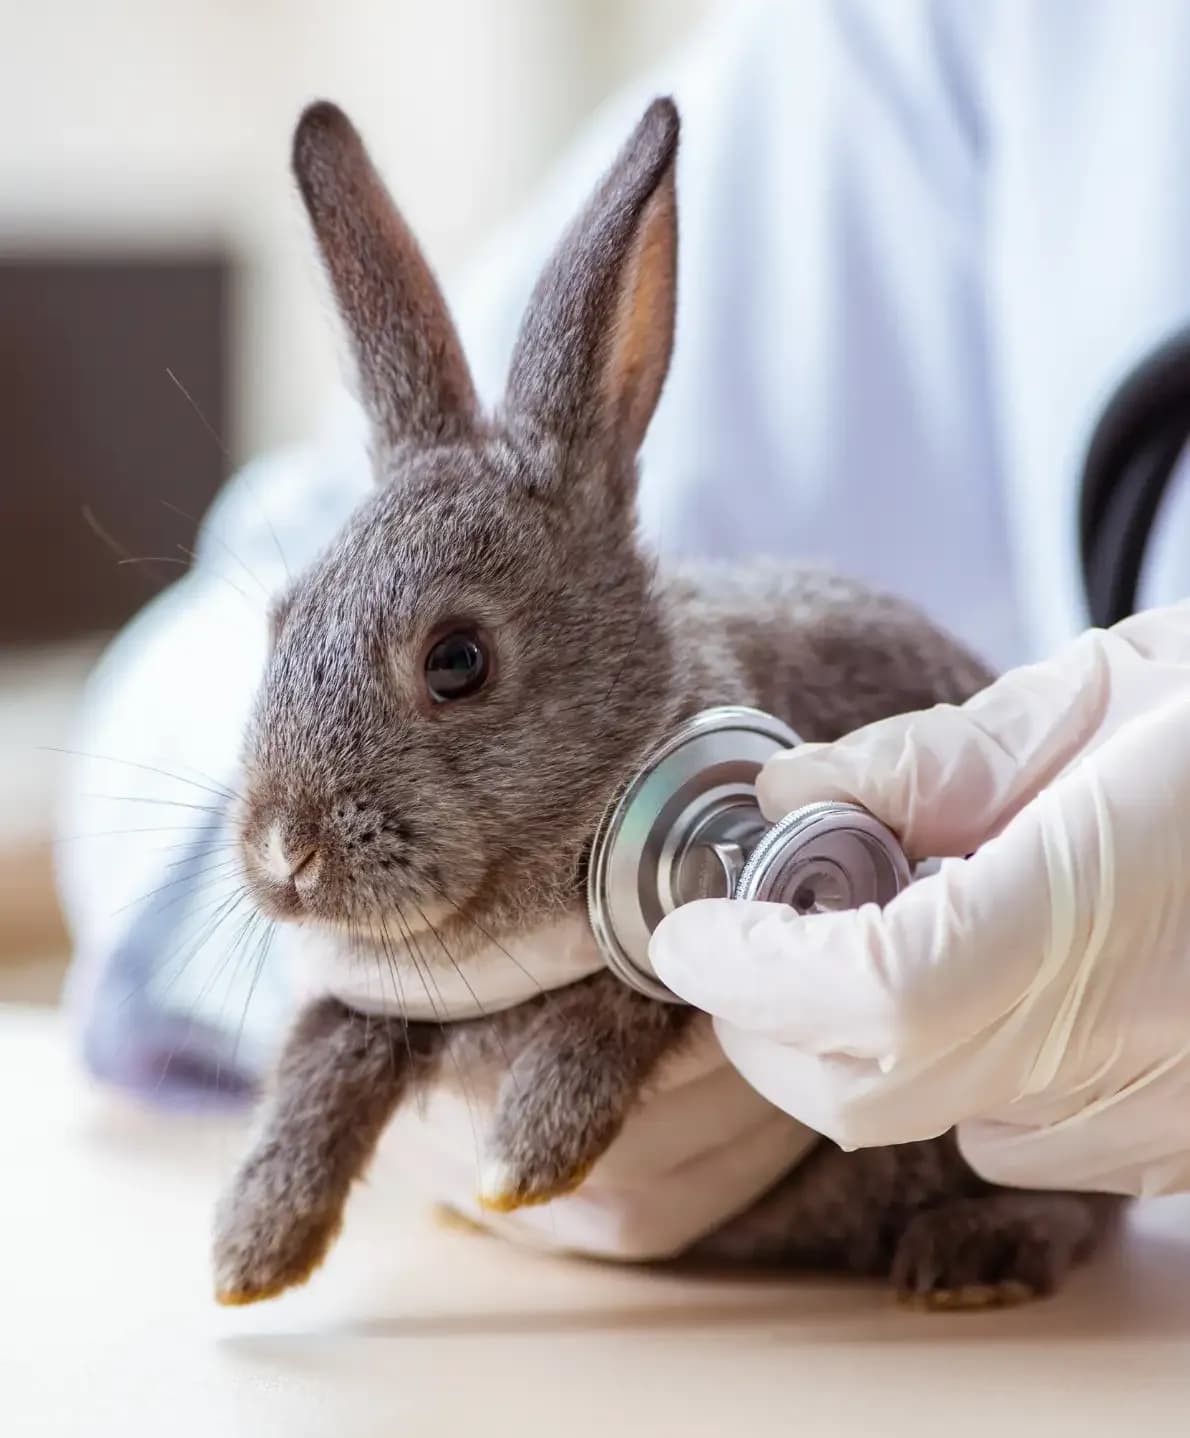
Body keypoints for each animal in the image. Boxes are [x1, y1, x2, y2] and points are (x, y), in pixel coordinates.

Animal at [212, 97, 1119, 1310]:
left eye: (457, 660)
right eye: (280, 619)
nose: (283, 852)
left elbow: (634, 1001)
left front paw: (524, 1156)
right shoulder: (377, 1002)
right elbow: (325, 1049)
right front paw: (251, 1249)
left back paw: (972, 1254)